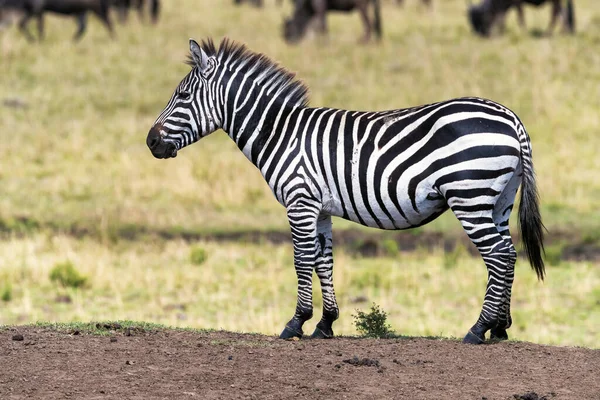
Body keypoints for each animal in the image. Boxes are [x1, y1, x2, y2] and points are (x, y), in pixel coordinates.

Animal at [148, 37, 548, 344]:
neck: (279, 133)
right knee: (509, 253)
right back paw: (500, 329)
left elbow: (301, 259)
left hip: (470, 196)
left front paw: (296, 322)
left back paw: (478, 329)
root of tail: (510, 117)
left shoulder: (299, 201)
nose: (150, 142)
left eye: (183, 95)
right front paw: (325, 323)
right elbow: (323, 260)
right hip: (498, 200)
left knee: (497, 254)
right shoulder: (320, 207)